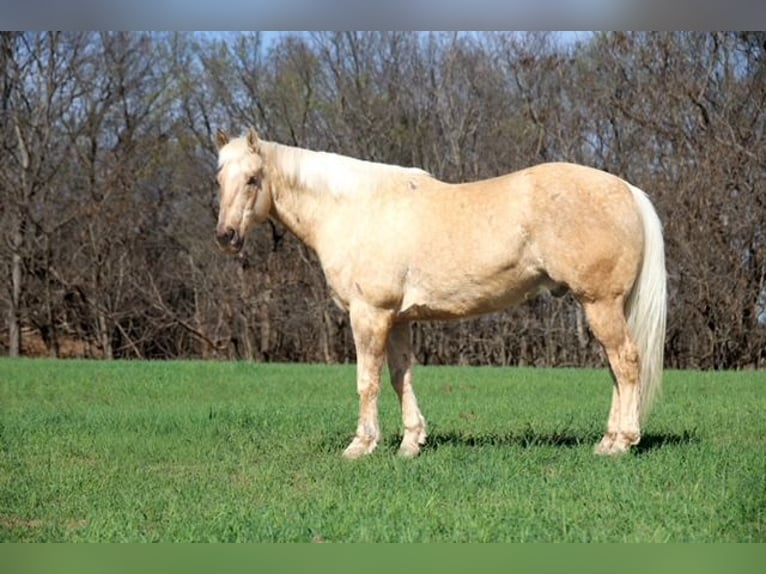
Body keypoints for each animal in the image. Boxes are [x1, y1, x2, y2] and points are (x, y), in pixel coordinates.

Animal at [213, 127, 667, 459]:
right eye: (219, 179)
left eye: (252, 179)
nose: (226, 236)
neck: (355, 210)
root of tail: (627, 189)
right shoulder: (397, 319)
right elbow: (400, 377)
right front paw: (411, 443)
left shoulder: (369, 314)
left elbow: (367, 381)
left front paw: (361, 446)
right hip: (603, 307)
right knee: (615, 369)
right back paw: (607, 440)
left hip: (600, 304)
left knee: (626, 363)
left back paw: (623, 442)